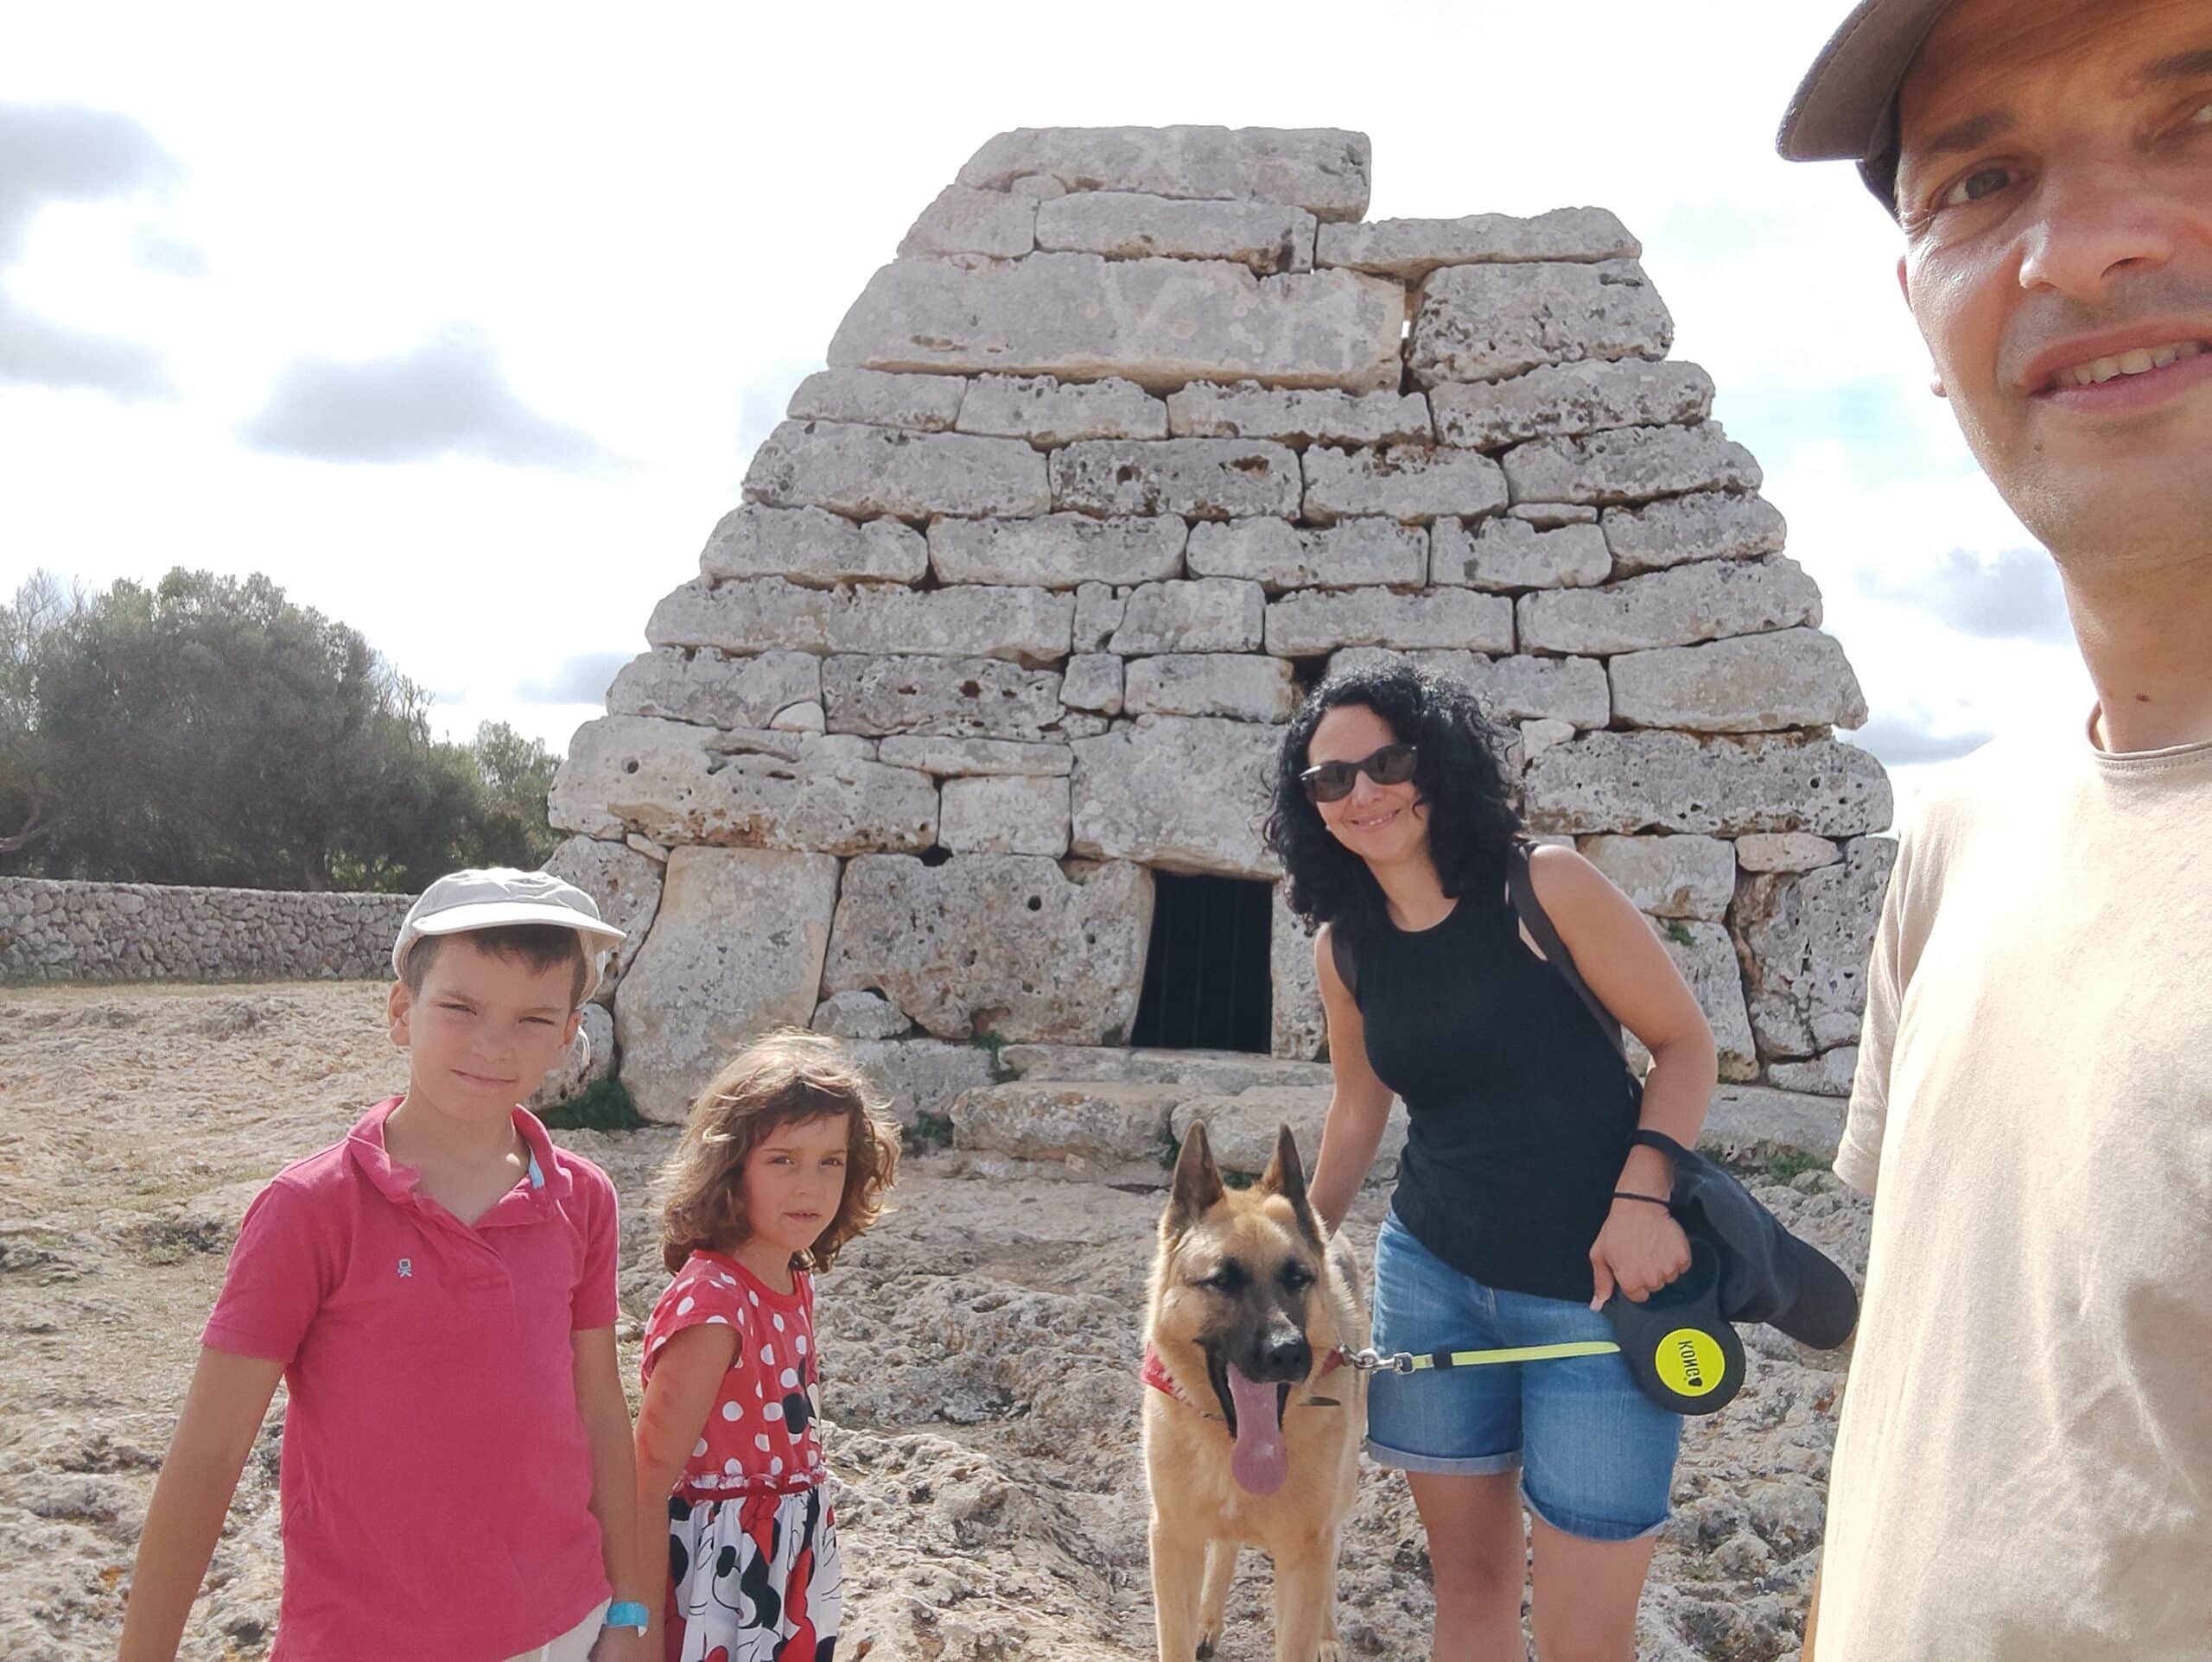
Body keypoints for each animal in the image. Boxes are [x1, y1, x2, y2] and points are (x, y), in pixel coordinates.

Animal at [1141, 1118, 1362, 1661]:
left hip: (1342, 1493)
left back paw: (1327, 1635)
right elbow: (1175, 1637)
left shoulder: (1302, 1555)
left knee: (1333, 1549)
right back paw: (1208, 1620)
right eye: (1223, 1280)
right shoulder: (1173, 1541)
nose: (1288, 1352)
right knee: (1225, 1545)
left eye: (1298, 1278)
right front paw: (1199, 1624)